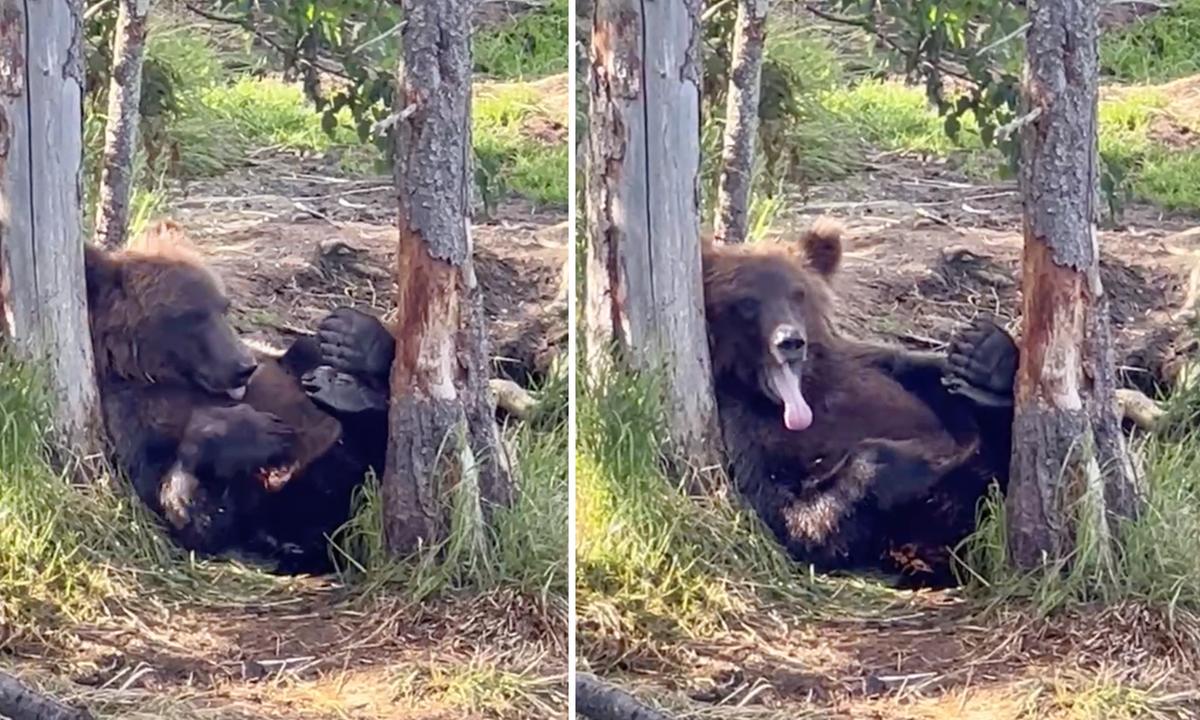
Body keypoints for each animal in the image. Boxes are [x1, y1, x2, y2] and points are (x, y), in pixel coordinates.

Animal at [84, 222, 390, 573]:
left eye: (223, 307)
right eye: (189, 316)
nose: (244, 366)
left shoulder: (271, 361)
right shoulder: (133, 423)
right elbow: (192, 512)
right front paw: (251, 429)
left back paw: (359, 349)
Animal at [702, 217, 1018, 587]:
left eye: (798, 294)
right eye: (748, 302)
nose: (790, 340)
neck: (802, 397)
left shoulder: (869, 365)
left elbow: (920, 371)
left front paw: (986, 355)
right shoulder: (742, 430)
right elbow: (792, 516)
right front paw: (916, 461)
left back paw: (986, 369)